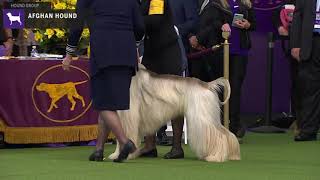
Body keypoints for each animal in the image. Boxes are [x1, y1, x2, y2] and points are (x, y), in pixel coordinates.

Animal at [110, 65, 240, 162]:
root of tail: (207, 84)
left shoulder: (128, 116)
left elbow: (124, 137)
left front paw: (122, 155)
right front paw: (119, 154)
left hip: (201, 118)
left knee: (220, 135)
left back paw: (215, 157)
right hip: (209, 115)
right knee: (226, 133)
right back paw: (232, 155)